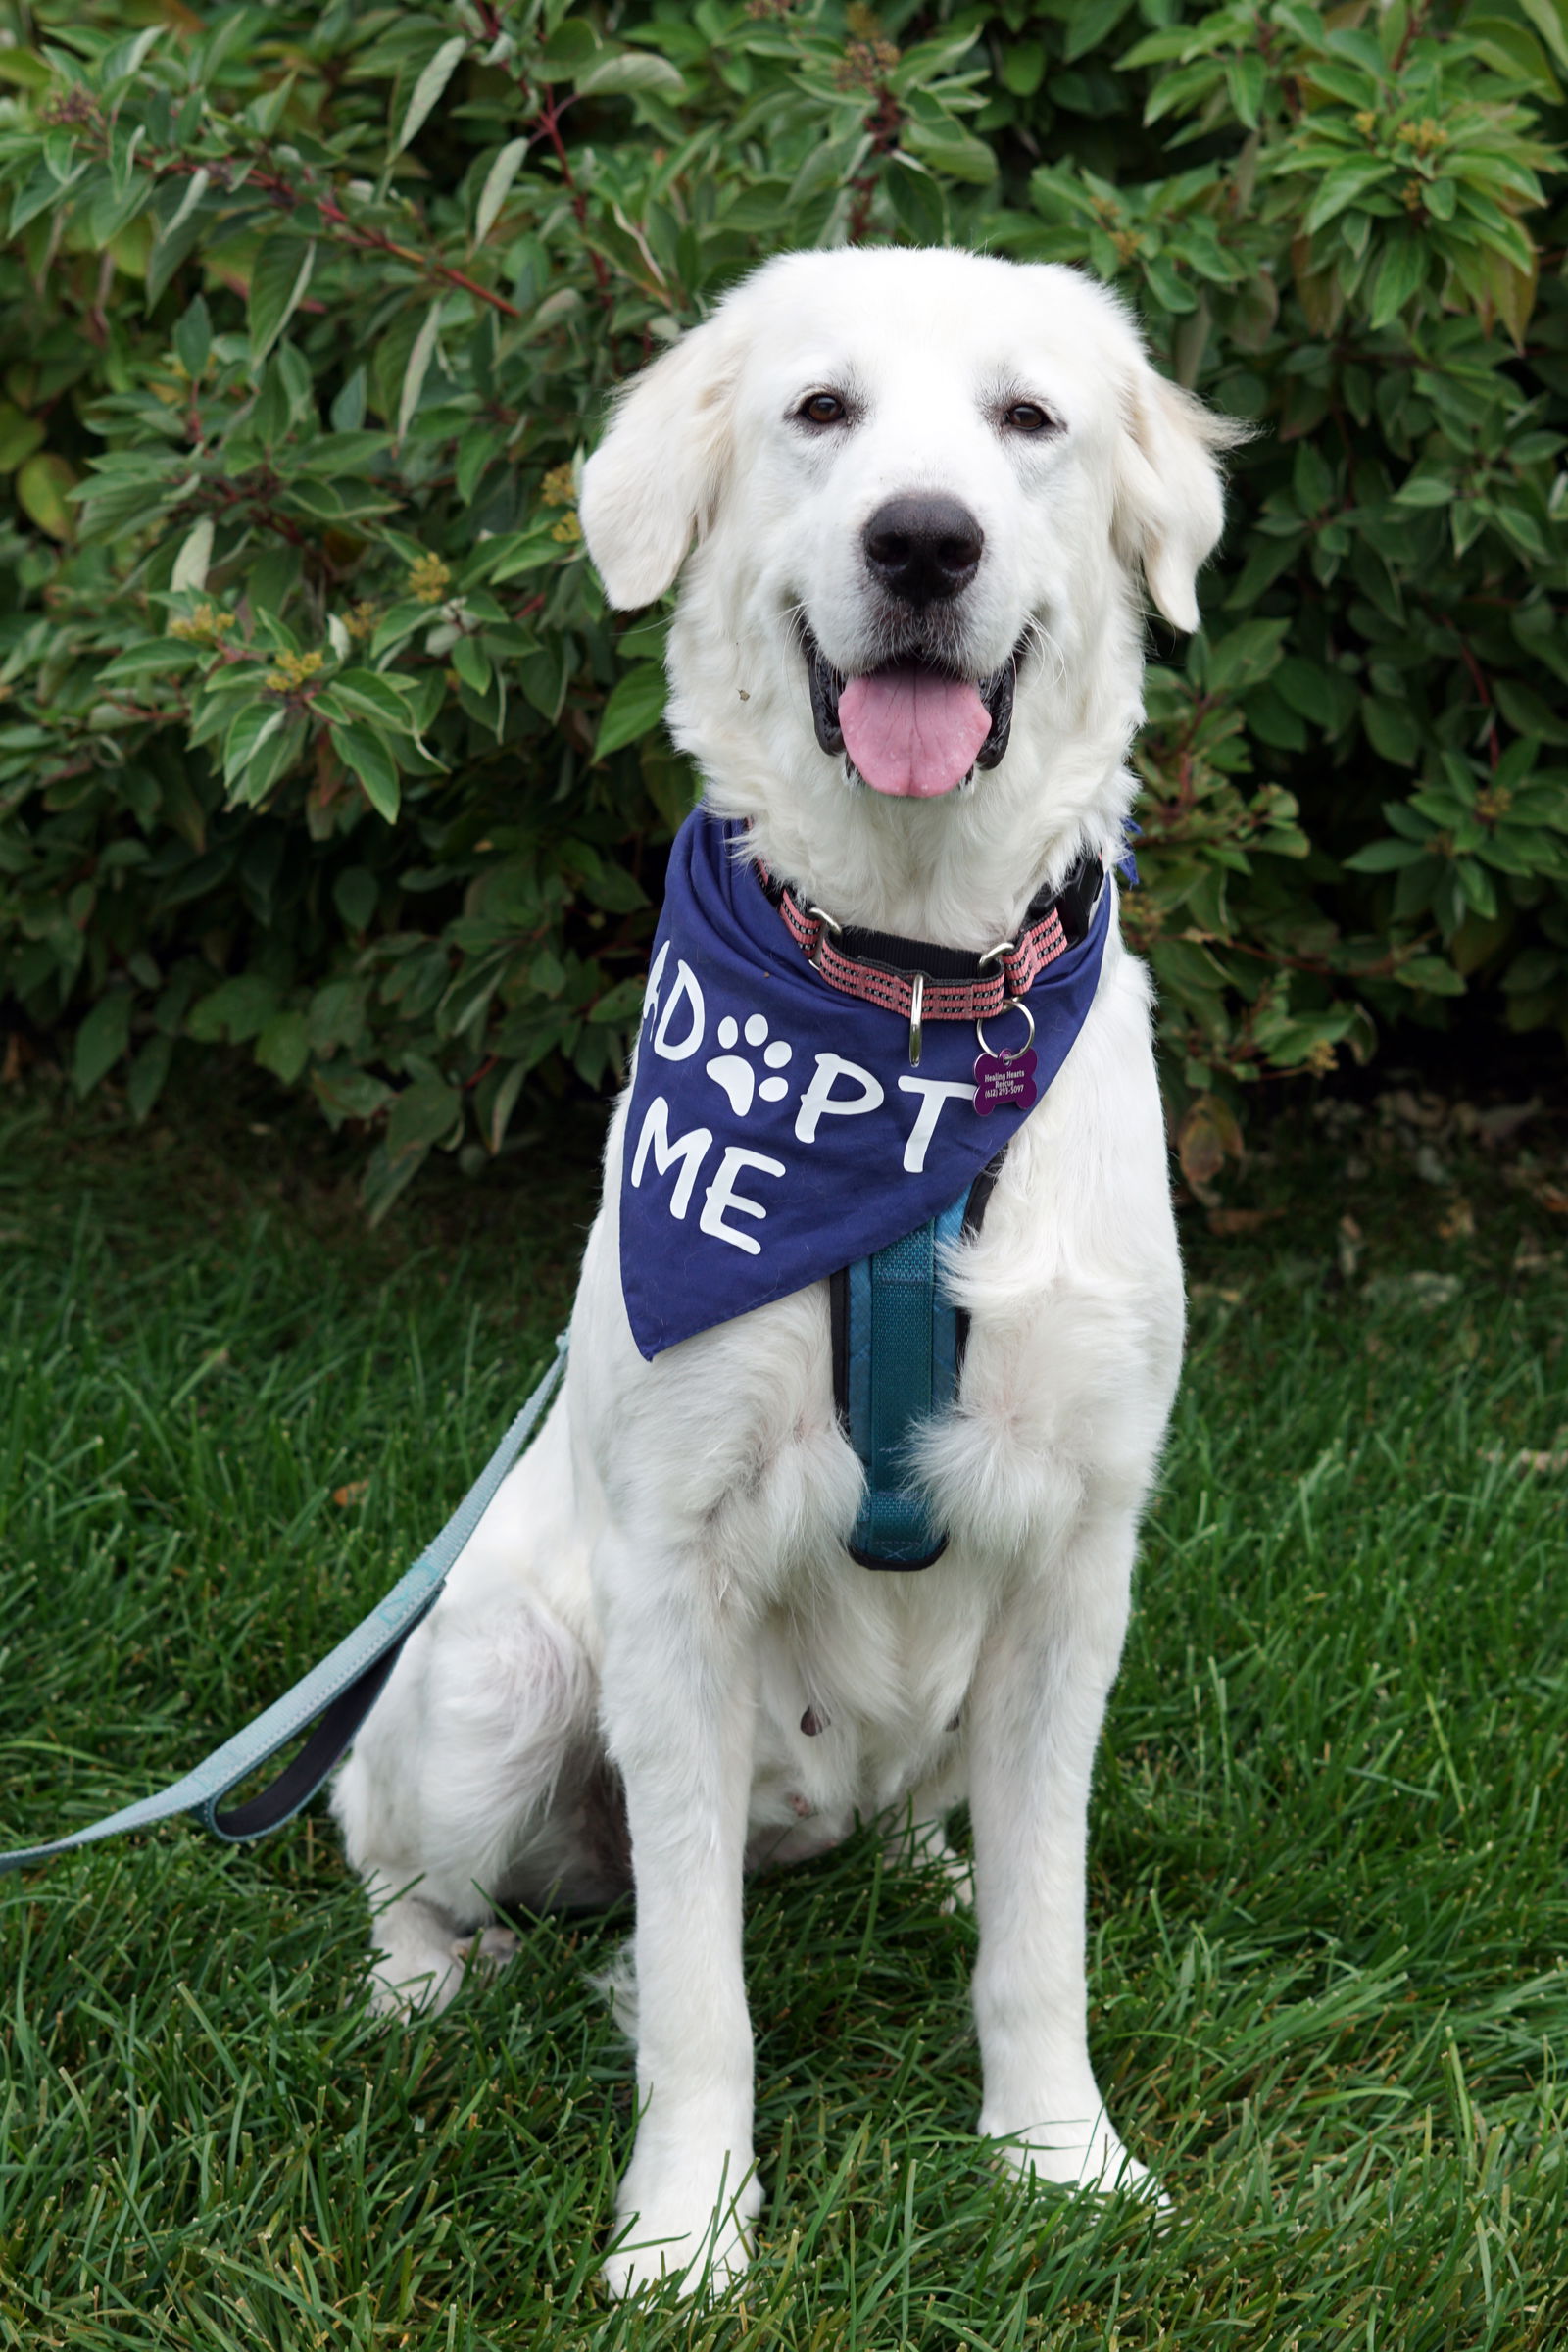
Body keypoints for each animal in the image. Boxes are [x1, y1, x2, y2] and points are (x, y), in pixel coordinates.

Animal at [333, 243, 1241, 2295]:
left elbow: (1043, 1937)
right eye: (821, 411)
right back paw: (424, 1994)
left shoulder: (1082, 1558)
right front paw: (687, 2233)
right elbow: (693, 1993)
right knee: (401, 1870)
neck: (902, 1007)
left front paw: (1062, 2159)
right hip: (496, 1677)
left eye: (1026, 420)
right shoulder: (674, 1570)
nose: (924, 541)